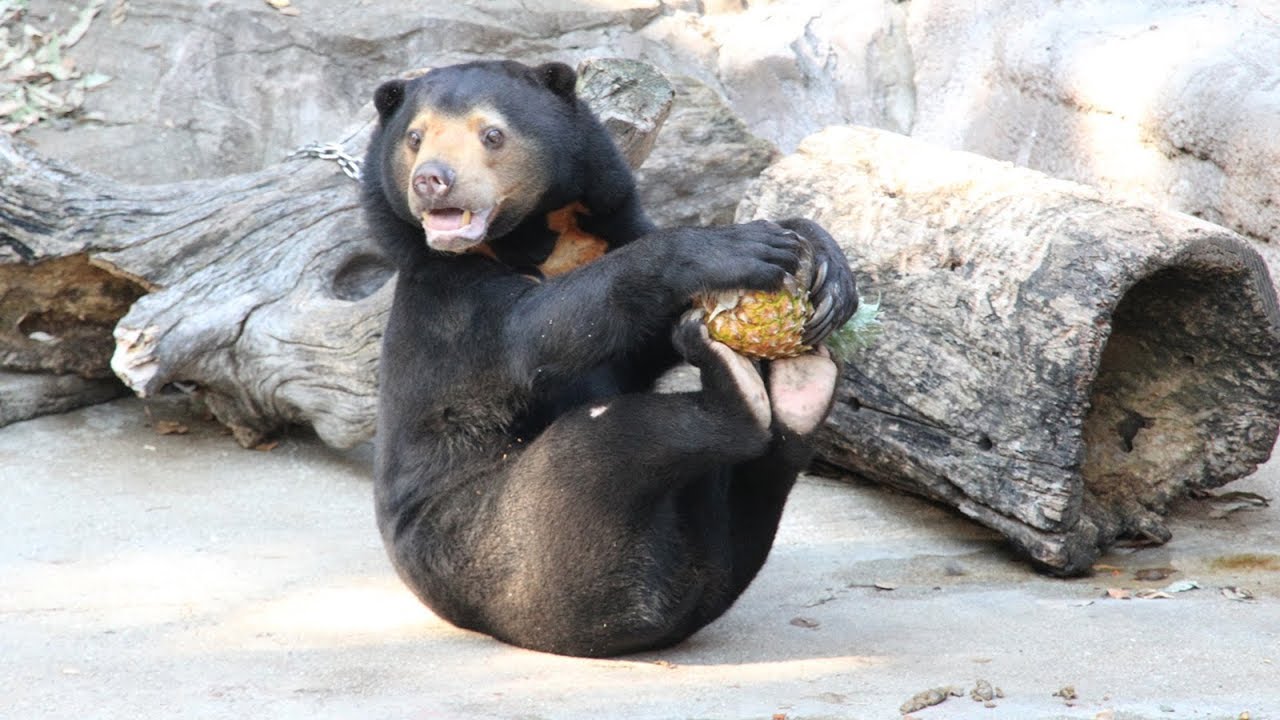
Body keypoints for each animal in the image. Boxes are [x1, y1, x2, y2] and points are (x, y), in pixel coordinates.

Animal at [363, 61, 860, 655]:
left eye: (492, 135)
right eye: (414, 138)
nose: (431, 180)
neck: (539, 241)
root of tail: (661, 606)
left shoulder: (608, 231)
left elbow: (645, 338)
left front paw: (820, 257)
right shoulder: (451, 306)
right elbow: (541, 329)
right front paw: (734, 247)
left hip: (712, 540)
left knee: (760, 480)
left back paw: (800, 387)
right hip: (510, 545)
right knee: (601, 448)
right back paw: (738, 391)